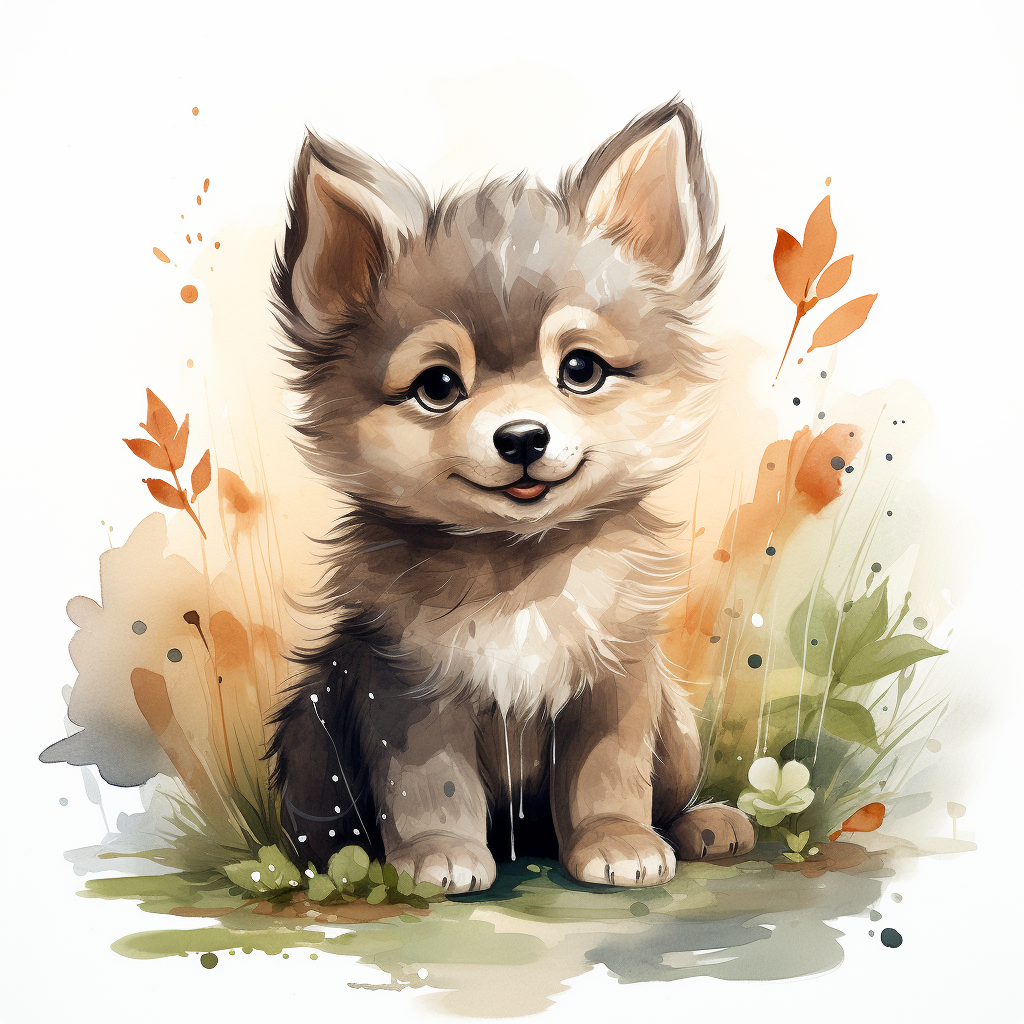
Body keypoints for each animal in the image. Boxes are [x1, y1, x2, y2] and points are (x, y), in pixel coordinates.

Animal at [268, 99, 755, 892]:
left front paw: (618, 841)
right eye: (438, 386)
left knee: (673, 789)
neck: (520, 570)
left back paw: (705, 824)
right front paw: (439, 853)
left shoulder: (617, 678)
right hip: (312, 732)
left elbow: (608, 775)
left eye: (582, 370)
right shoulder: (406, 689)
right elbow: (431, 785)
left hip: (677, 724)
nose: (523, 437)